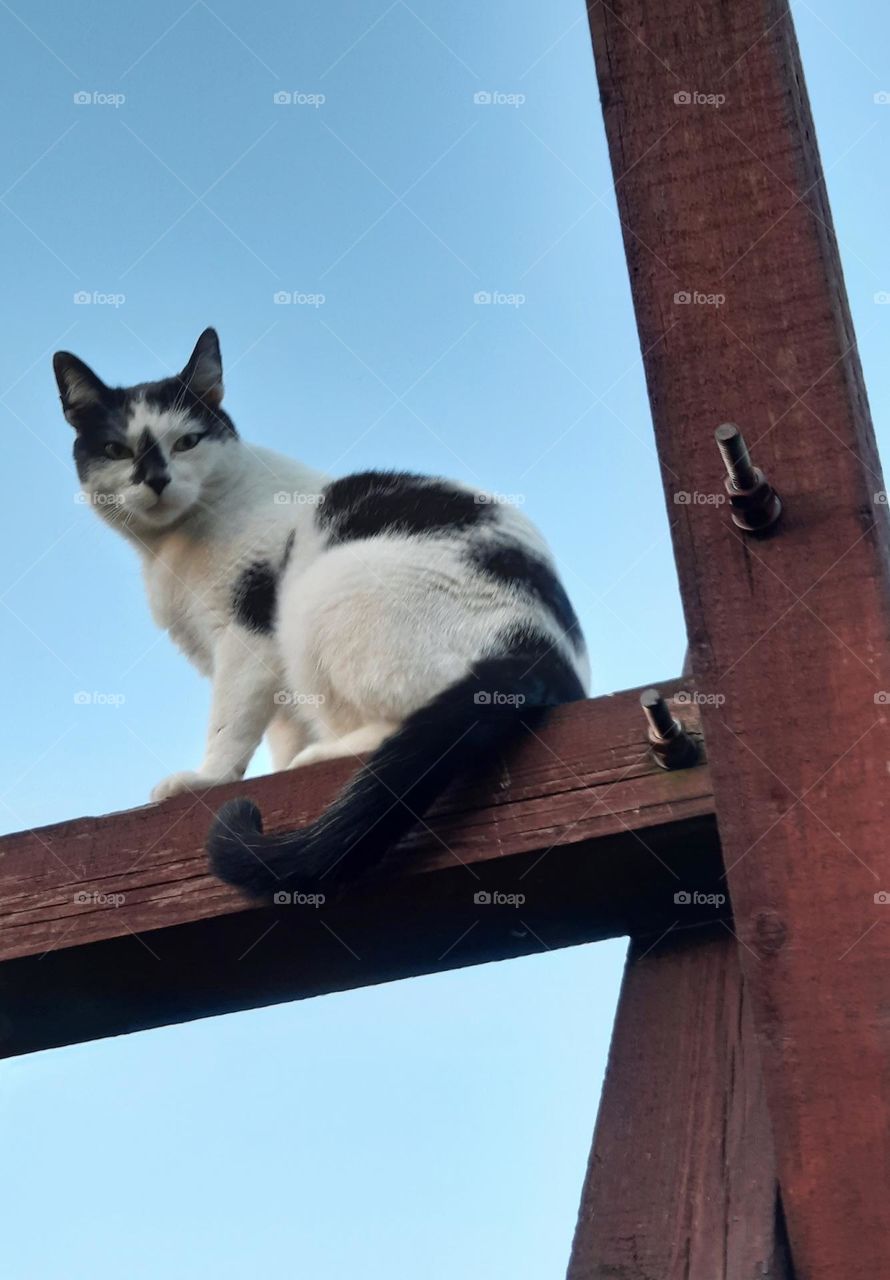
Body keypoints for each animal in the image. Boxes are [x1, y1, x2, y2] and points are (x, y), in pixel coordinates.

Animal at [52, 325, 589, 896]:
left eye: (186, 442)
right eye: (117, 450)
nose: (156, 480)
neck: (173, 546)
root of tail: (542, 652)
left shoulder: (249, 634)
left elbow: (230, 721)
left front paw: (208, 778)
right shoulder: (274, 675)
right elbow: (282, 726)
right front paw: (281, 767)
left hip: (320, 596)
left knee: (400, 715)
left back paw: (327, 754)